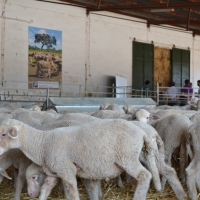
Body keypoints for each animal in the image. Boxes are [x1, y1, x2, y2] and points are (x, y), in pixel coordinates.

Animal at [0, 119, 161, 200]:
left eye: (3, 134)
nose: (30, 195)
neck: (43, 143)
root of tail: (141, 132)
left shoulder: (67, 170)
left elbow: (72, 192)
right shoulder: (54, 172)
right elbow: (46, 189)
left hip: (127, 157)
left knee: (145, 175)